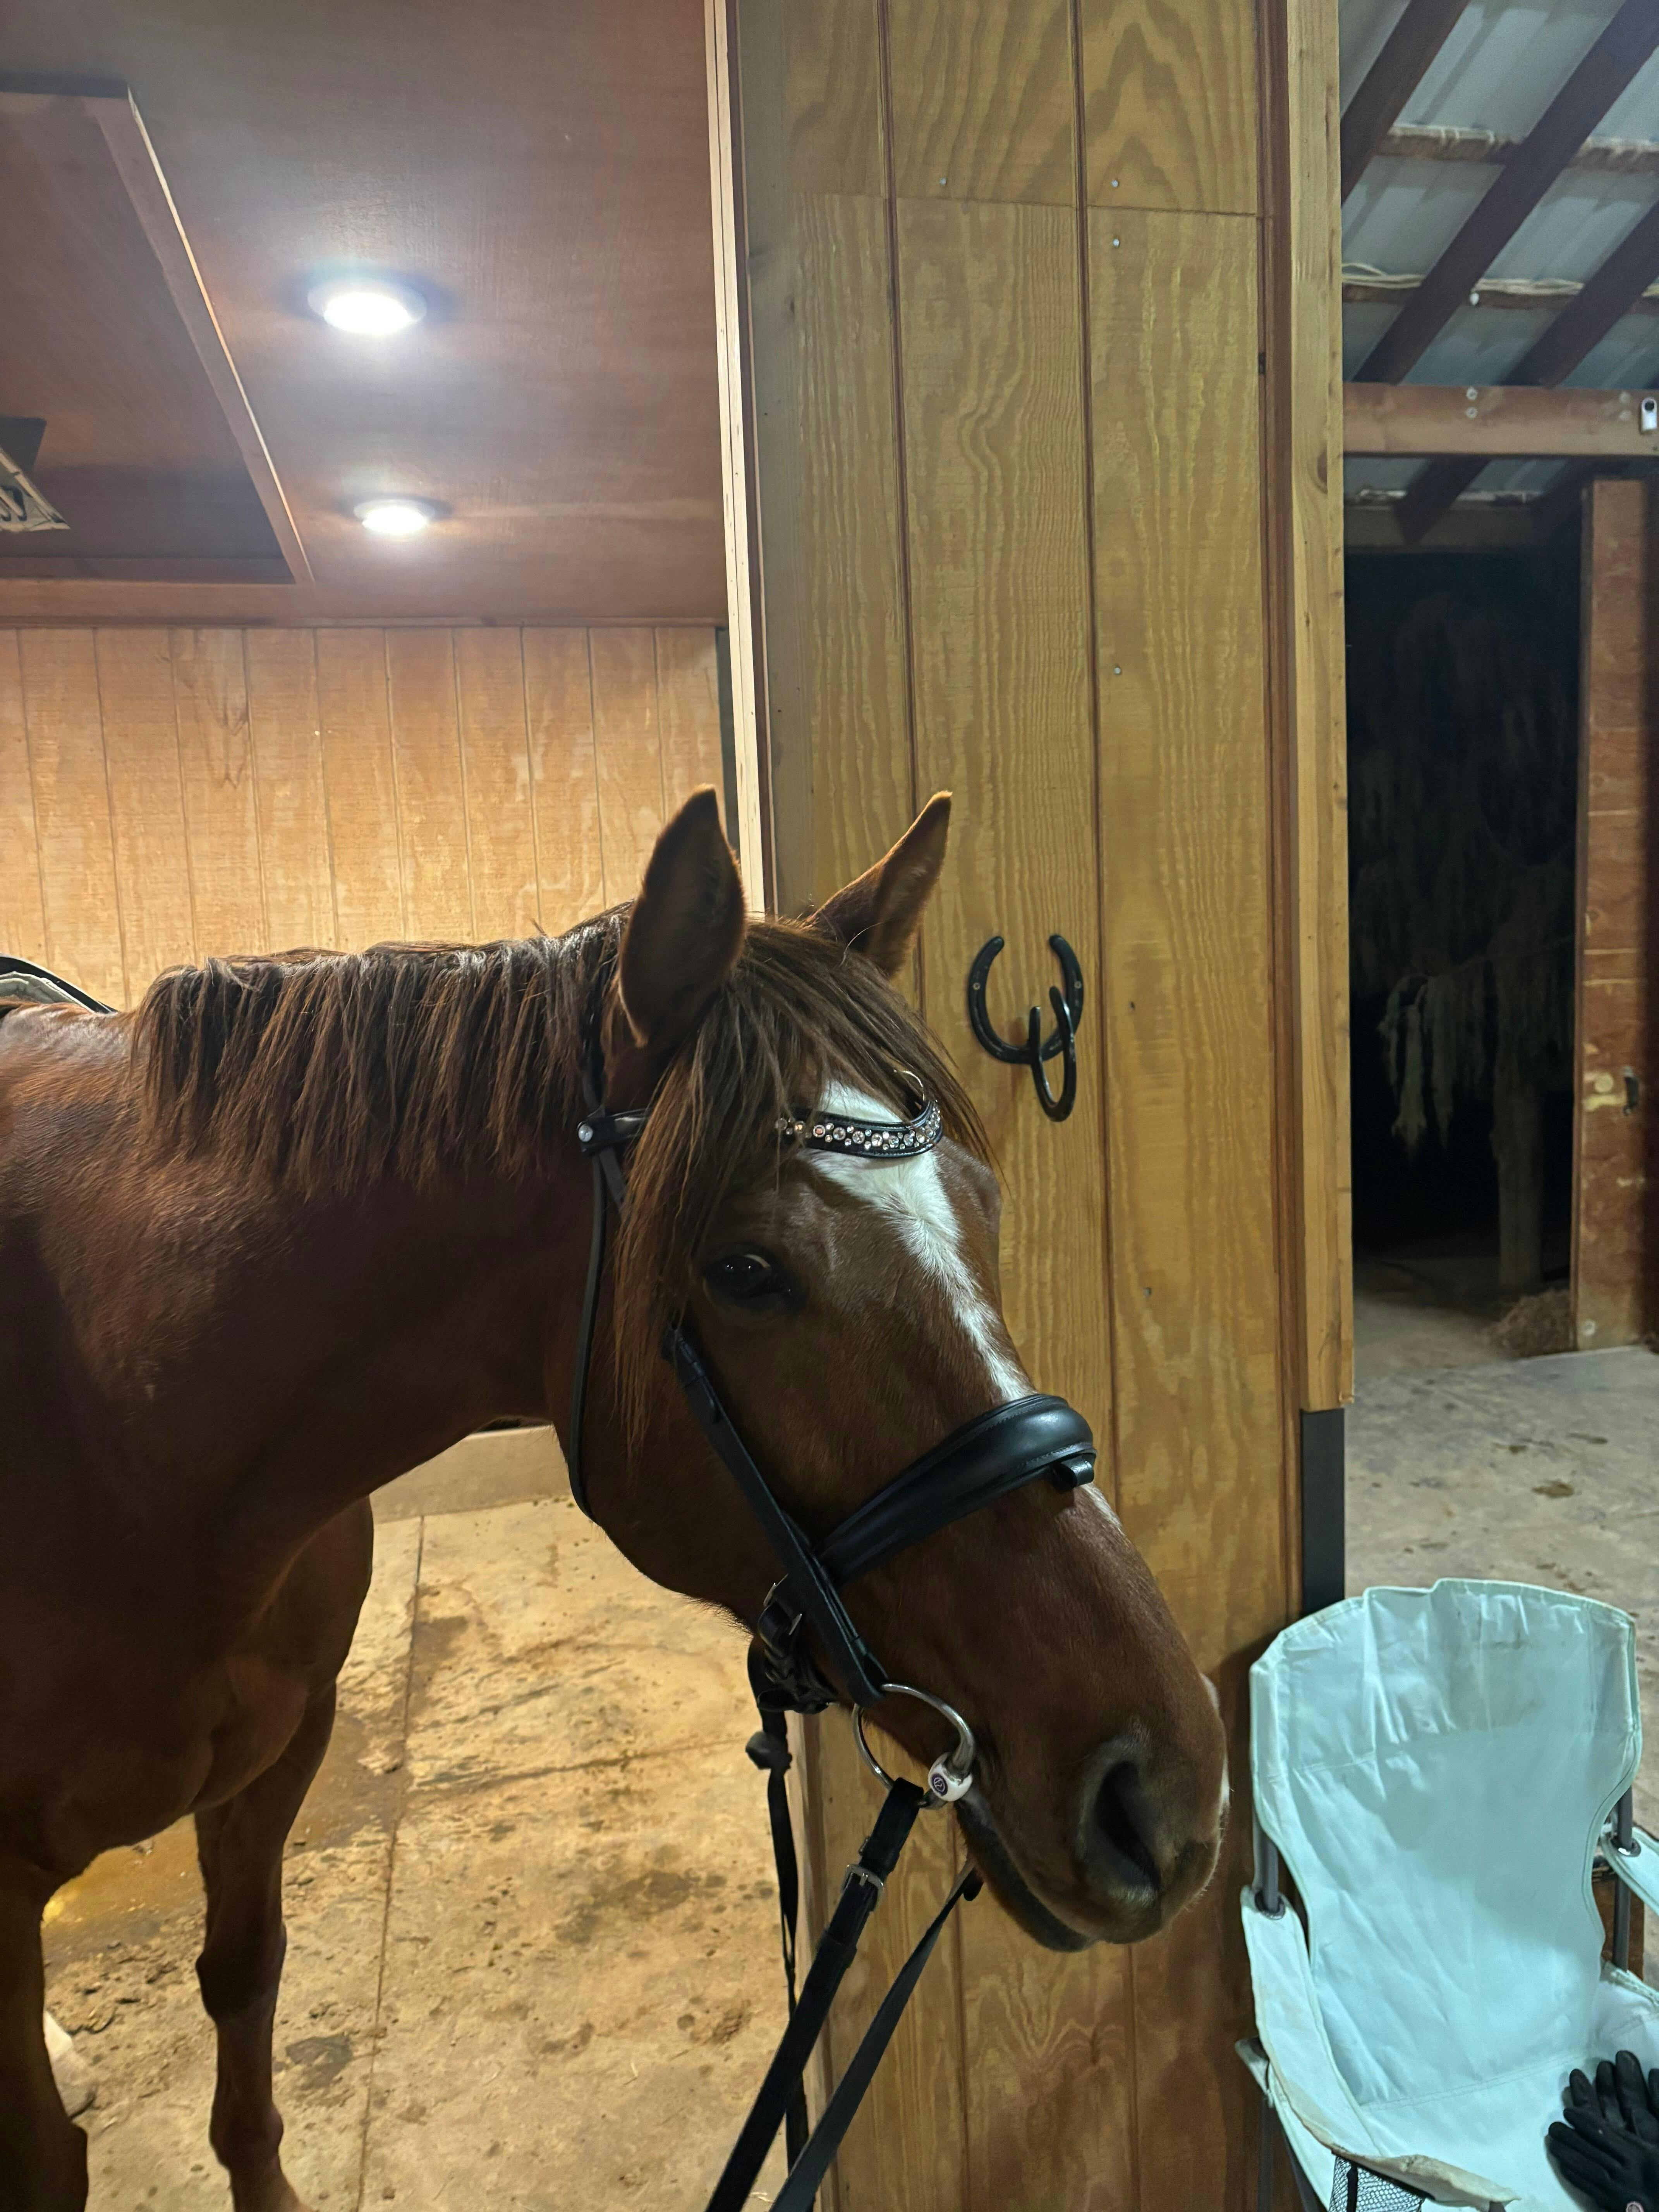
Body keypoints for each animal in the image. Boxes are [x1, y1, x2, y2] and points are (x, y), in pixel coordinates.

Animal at [0, 787, 1227, 2211]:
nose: (1165, 1791)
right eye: (747, 1271)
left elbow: (244, 1994)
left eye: (979, 1205)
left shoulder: (275, 1764)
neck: (122, 1419)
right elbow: (48, 2153)